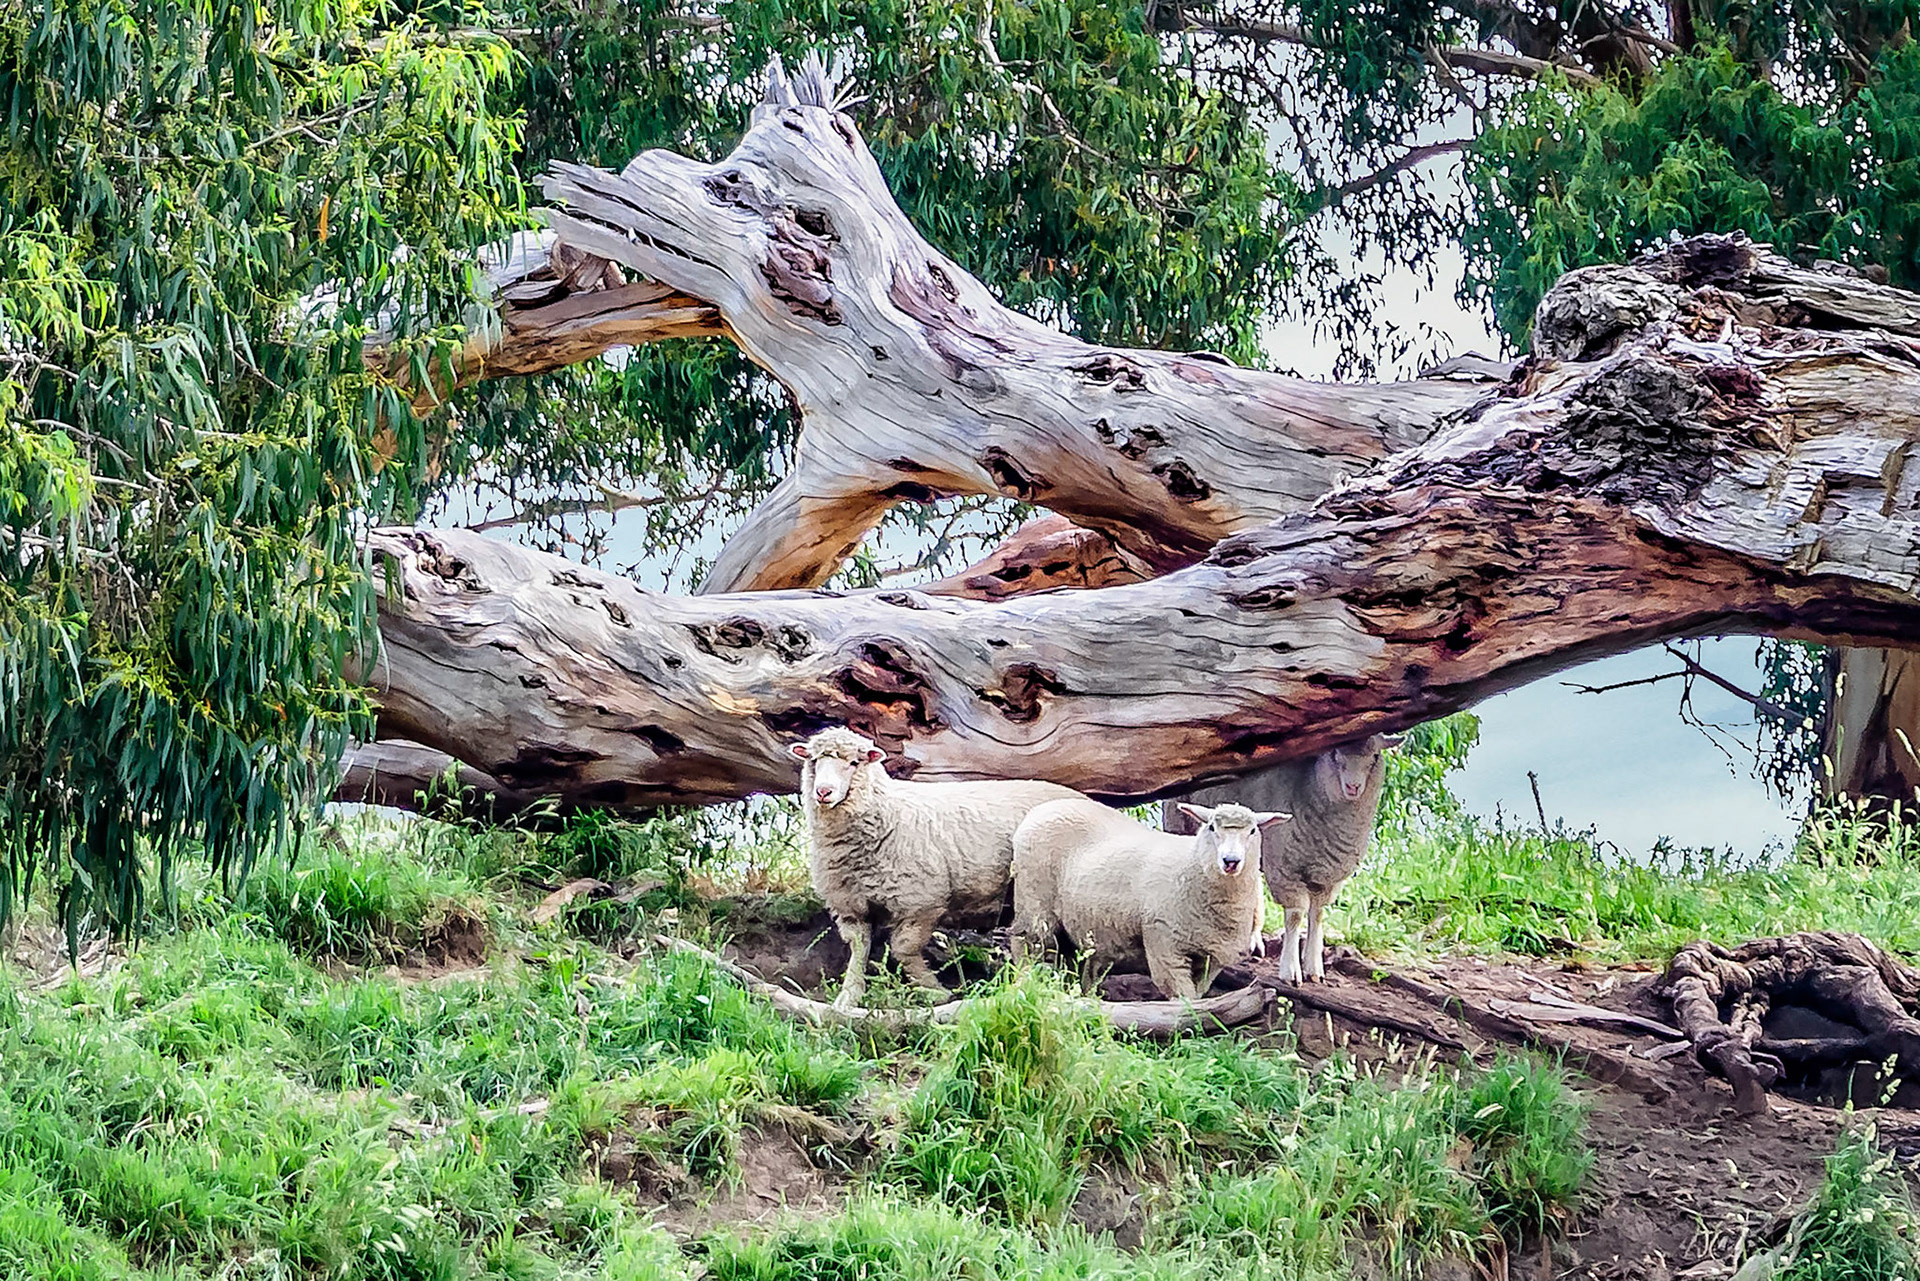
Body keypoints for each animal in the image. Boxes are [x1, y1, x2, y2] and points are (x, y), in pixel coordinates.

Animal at [789, 726, 1082, 1011]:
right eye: (813, 761)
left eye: (853, 762)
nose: (823, 792)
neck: (885, 811)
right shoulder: (849, 906)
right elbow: (859, 949)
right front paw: (848, 997)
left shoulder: (921, 902)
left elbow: (903, 948)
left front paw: (935, 991)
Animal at [1010, 798, 1288, 1001]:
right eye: (1211, 827)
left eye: (1252, 831)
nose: (1231, 861)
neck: (1191, 865)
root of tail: (1042, 808)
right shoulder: (1164, 943)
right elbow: (1183, 998)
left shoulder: (1212, 956)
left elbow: (1198, 993)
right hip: (1034, 900)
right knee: (1026, 943)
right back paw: (1024, 983)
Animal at [1161, 733, 1403, 983]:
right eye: (1335, 754)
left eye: (1374, 757)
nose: (1353, 787)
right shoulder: (1285, 868)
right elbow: (1295, 917)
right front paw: (1290, 971)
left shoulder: (1327, 877)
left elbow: (1317, 914)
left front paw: (1314, 968)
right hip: (1180, 821)